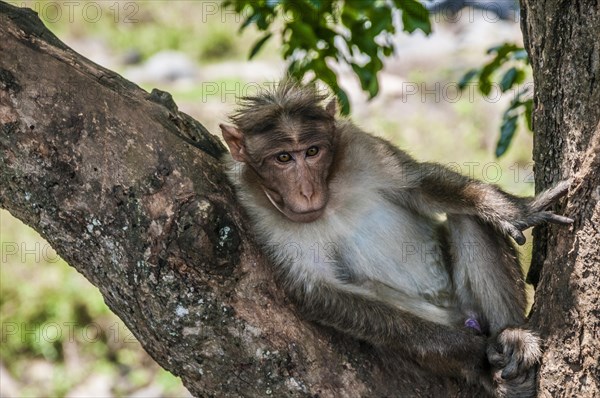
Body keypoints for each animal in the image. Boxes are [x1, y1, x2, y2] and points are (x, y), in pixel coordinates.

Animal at [219, 80, 572, 394]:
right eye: (283, 158)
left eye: (312, 152)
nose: (307, 192)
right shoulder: (254, 206)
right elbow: (319, 290)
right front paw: (473, 355)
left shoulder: (362, 147)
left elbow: (417, 185)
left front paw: (513, 209)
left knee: (468, 217)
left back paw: (513, 335)